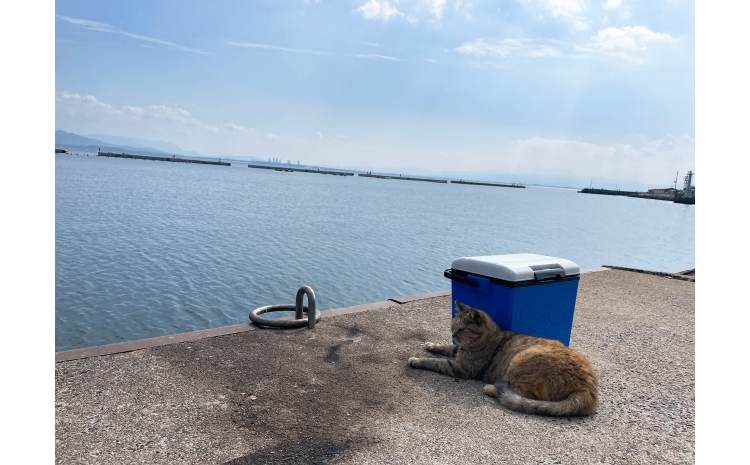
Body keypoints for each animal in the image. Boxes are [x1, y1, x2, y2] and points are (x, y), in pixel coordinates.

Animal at [412, 300, 600, 416]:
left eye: (462, 329)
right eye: (452, 326)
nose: (452, 335)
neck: (491, 337)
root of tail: (588, 388)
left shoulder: (462, 368)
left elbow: (435, 362)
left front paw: (417, 360)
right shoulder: (458, 351)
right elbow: (446, 347)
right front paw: (431, 346)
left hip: (521, 360)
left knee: (521, 395)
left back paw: (491, 388)